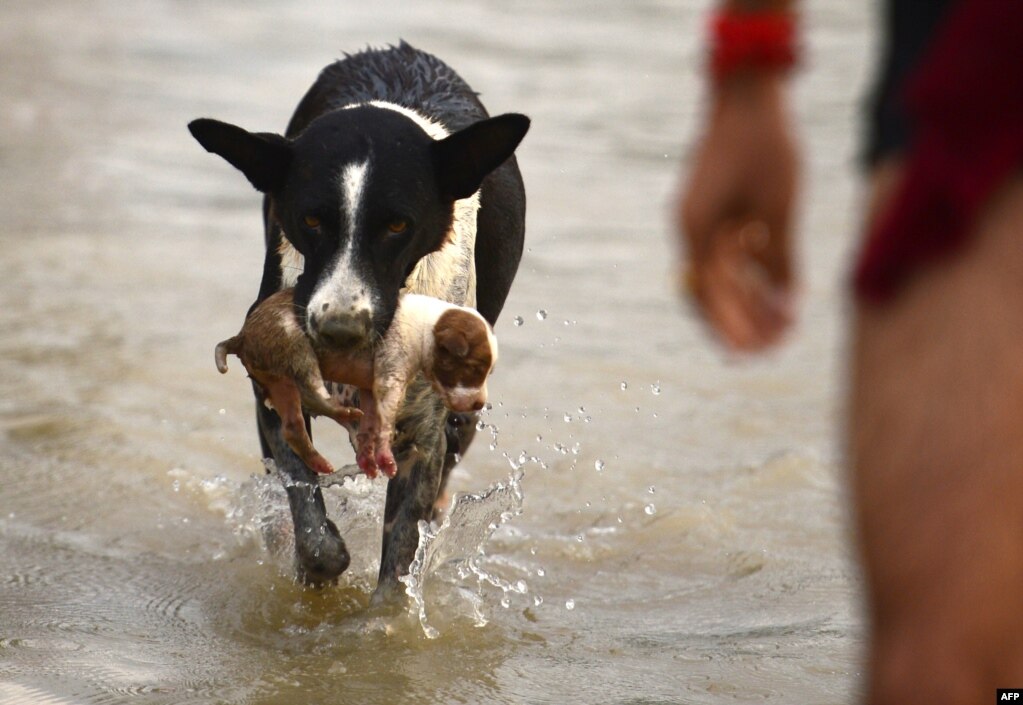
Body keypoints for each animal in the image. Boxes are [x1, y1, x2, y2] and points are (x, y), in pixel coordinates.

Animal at [217, 286, 497, 478]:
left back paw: (320, 459)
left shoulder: (371, 389)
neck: (427, 328)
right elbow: (384, 422)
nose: (479, 404)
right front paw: (385, 457)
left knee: (293, 426)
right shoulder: (390, 376)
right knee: (315, 390)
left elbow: (372, 421)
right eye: (474, 368)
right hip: (295, 345)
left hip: (280, 382)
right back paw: (342, 413)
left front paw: (368, 457)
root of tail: (241, 336)